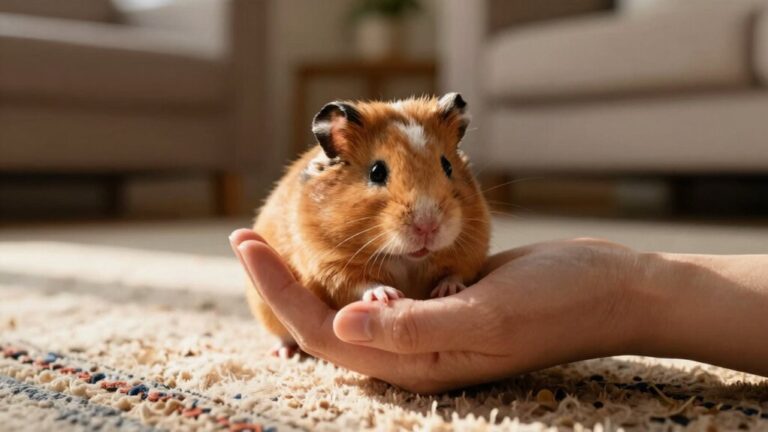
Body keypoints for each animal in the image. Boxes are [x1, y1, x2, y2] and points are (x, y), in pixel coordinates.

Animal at [248, 93, 491, 357]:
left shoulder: (471, 250)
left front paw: (448, 290)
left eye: (447, 166)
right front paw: (388, 295)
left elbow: (457, 272)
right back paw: (284, 353)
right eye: (377, 172)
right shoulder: (330, 265)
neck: (405, 258)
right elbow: (361, 284)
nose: (427, 227)